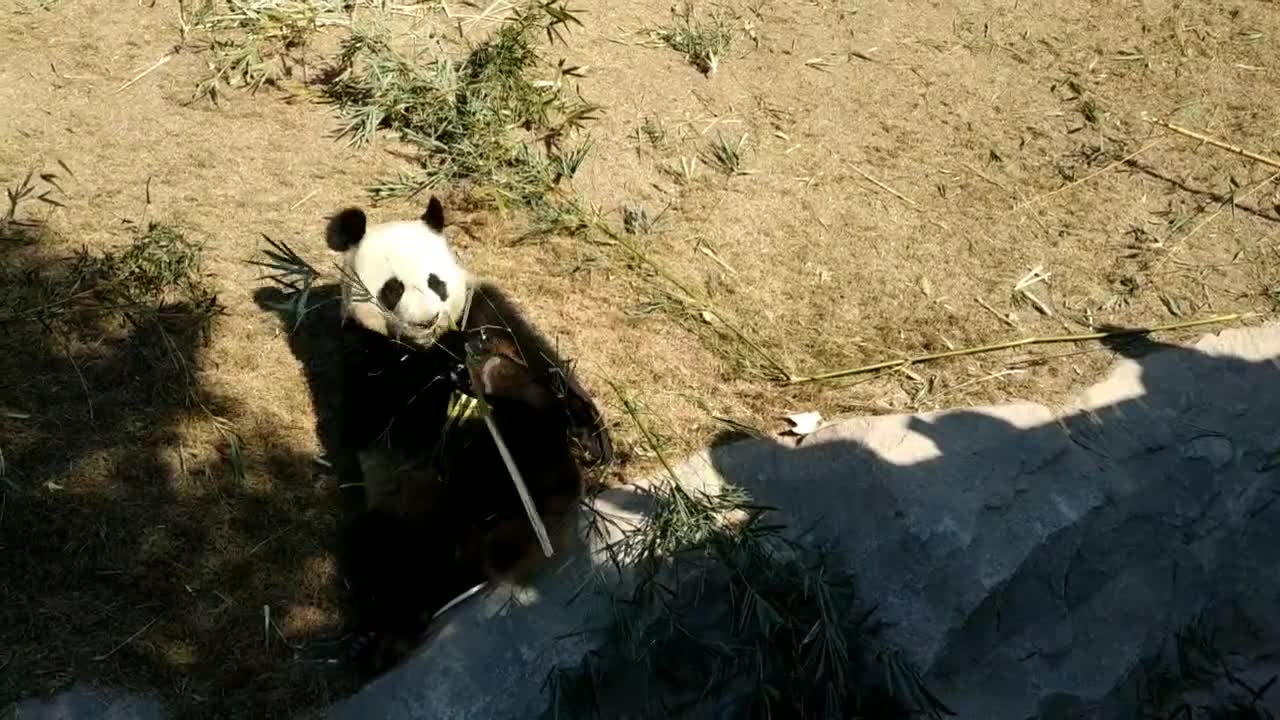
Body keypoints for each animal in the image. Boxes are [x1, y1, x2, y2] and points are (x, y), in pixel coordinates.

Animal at [319, 195, 613, 679]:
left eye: (436, 282)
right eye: (393, 289)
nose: (426, 321)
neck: (426, 345)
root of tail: (479, 557)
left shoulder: (487, 310)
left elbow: (544, 362)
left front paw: (592, 435)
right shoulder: (359, 352)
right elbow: (384, 416)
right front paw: (450, 374)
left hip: (532, 476)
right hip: (408, 515)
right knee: (379, 552)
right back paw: (388, 637)